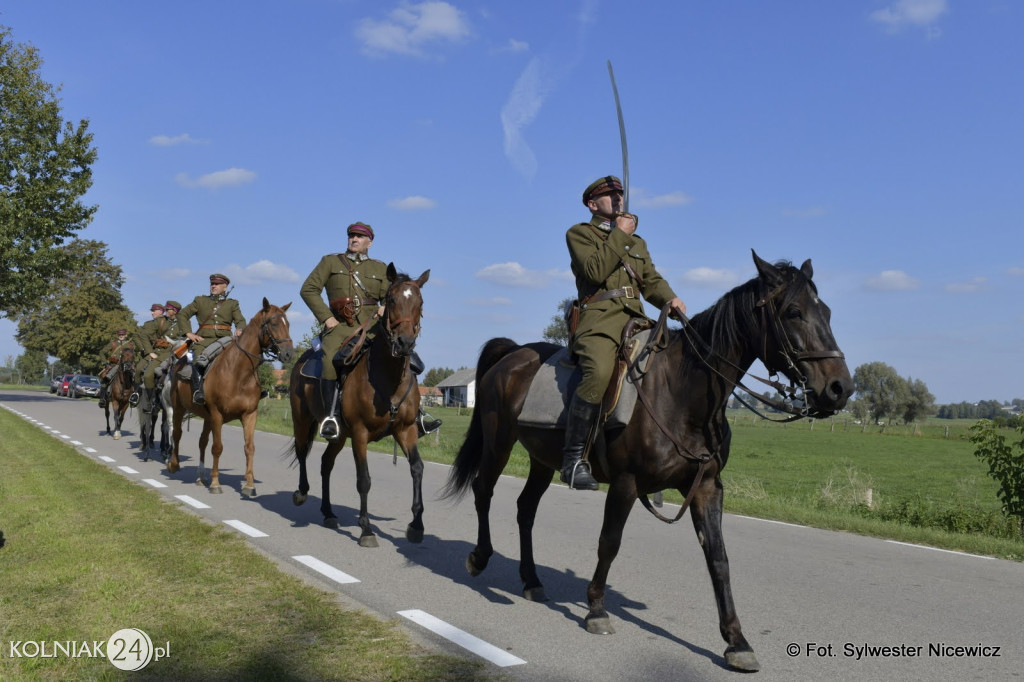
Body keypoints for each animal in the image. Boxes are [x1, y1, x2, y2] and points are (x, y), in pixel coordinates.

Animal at [163, 296, 292, 493]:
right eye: (274, 323)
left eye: (289, 324)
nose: (288, 354)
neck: (239, 373)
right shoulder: (217, 414)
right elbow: (217, 447)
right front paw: (216, 483)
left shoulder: (249, 415)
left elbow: (249, 447)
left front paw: (249, 484)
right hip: (178, 408)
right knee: (177, 433)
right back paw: (174, 464)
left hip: (206, 417)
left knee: (202, 441)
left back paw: (201, 476)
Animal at [288, 264, 428, 548]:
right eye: (391, 300)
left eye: (420, 303)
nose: (405, 343)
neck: (388, 378)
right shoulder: (361, 434)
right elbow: (364, 480)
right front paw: (366, 530)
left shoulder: (406, 430)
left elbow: (417, 469)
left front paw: (416, 525)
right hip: (302, 419)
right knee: (302, 452)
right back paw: (301, 493)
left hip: (340, 435)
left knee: (325, 463)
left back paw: (329, 513)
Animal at [444, 250, 851, 667]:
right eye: (794, 312)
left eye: (827, 312)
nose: (841, 388)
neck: (682, 392)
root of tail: (513, 352)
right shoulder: (626, 483)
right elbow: (609, 543)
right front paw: (596, 610)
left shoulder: (706, 487)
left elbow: (719, 559)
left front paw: (736, 641)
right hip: (499, 442)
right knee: (483, 490)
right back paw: (479, 558)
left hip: (543, 459)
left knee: (526, 508)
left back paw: (531, 580)